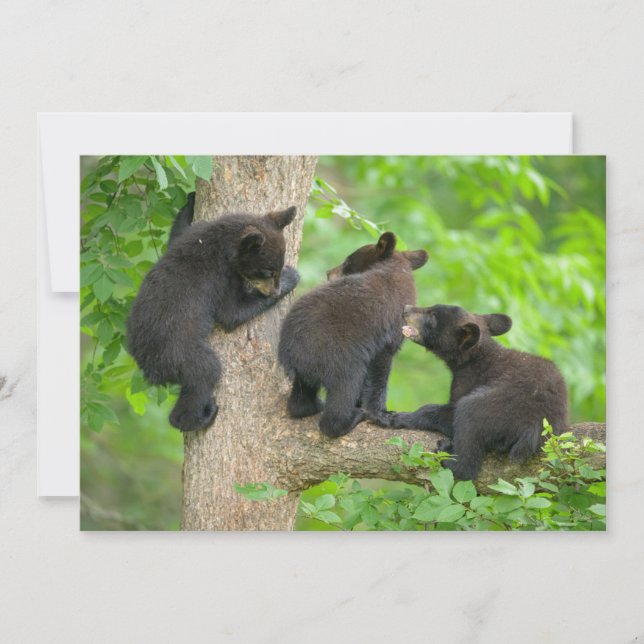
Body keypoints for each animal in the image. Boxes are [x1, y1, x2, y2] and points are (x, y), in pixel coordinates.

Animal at [126, 192, 300, 432]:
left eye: (277, 266)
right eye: (267, 271)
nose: (274, 290)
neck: (221, 242)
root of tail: (147, 366)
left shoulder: (189, 236)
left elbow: (176, 234)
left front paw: (190, 200)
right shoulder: (219, 276)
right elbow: (230, 312)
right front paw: (291, 278)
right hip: (180, 352)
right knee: (205, 373)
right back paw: (200, 417)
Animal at [278, 232, 429, 438]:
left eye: (348, 261)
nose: (328, 273)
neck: (396, 270)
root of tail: (289, 354)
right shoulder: (386, 333)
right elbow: (379, 373)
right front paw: (382, 413)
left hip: (309, 368)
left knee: (302, 397)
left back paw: (311, 406)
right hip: (338, 356)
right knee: (347, 385)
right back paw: (350, 418)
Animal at [370, 304, 569, 480]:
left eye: (433, 315)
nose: (406, 308)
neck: (474, 357)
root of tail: (536, 425)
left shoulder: (469, 378)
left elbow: (448, 411)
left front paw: (396, 417)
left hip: (502, 406)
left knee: (469, 420)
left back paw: (448, 457)